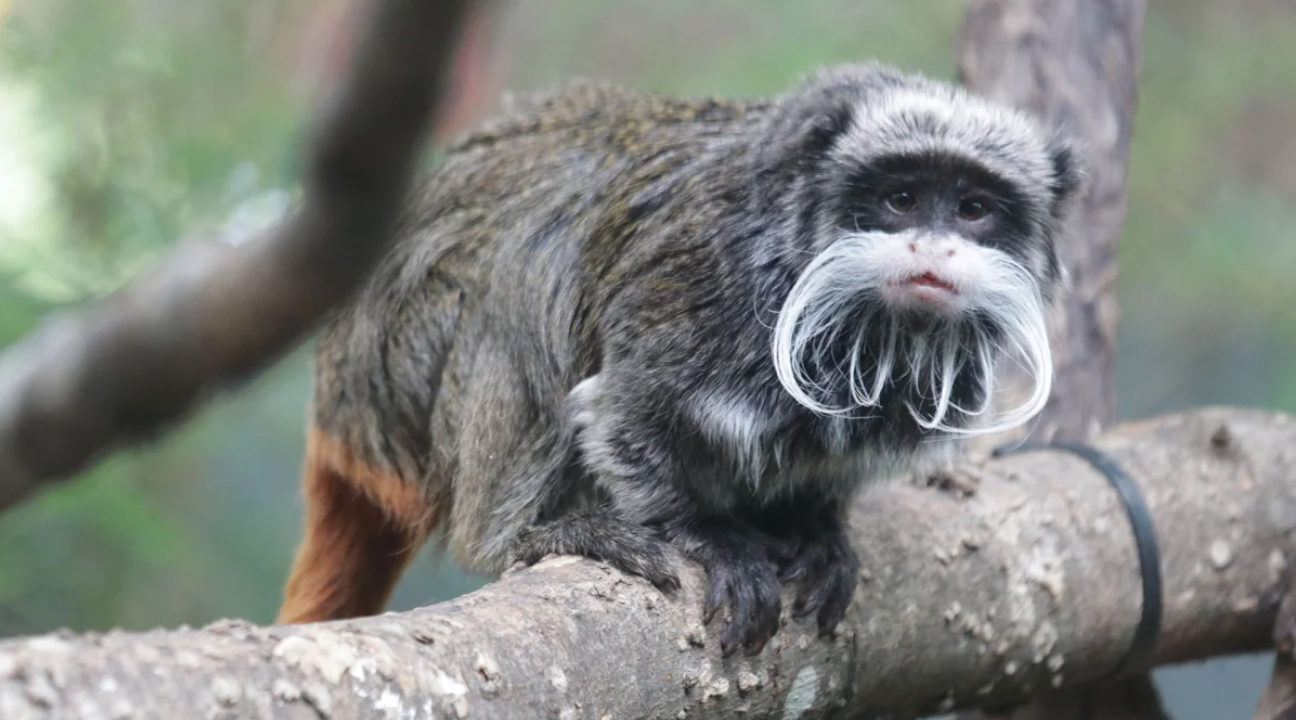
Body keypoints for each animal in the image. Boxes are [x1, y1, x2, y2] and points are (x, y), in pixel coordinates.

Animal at [276, 61, 1080, 657]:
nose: (934, 248)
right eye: (902, 198)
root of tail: (335, 403)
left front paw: (817, 527)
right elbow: (621, 416)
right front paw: (711, 537)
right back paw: (524, 532)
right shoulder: (701, 288)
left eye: (974, 209)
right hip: (398, 368)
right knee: (525, 272)